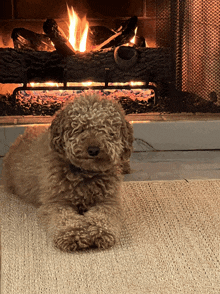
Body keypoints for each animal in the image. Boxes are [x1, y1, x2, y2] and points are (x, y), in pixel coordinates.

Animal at [1, 93, 134, 250]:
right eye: (80, 128)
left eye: (105, 128)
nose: (93, 149)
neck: (85, 173)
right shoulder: (56, 202)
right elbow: (64, 219)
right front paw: (72, 234)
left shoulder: (108, 202)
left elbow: (103, 216)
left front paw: (99, 232)